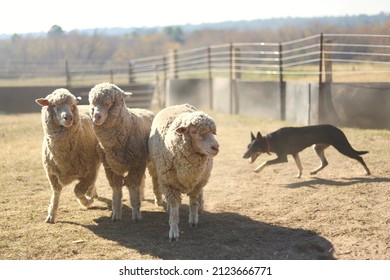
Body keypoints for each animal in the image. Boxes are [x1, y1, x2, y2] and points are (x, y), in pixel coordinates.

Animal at [35, 87, 101, 223]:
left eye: (72, 105)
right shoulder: (52, 174)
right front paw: (51, 214)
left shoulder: (89, 172)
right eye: (54, 105)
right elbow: (56, 193)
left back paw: (91, 194)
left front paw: (87, 202)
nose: (68, 118)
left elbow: (78, 191)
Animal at [88, 82, 155, 222]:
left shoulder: (136, 164)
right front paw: (116, 214)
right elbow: (116, 191)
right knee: (143, 179)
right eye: (92, 103)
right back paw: (142, 197)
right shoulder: (110, 167)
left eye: (110, 103)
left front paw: (136, 214)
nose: (96, 117)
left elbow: (133, 187)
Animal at [148, 103, 219, 241]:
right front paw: (174, 231)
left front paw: (193, 220)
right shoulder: (168, 184)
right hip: (155, 169)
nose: (215, 147)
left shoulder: (197, 182)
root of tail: (178, 105)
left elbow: (193, 202)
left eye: (212, 132)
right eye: (194, 131)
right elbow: (175, 209)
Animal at [241, 124, 372, 178]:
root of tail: (338, 129)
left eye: (253, 147)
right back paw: (314, 171)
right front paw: (299, 175)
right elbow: (299, 166)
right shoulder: (295, 154)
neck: (271, 140)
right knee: (325, 162)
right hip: (317, 147)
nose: (243, 156)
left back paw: (367, 172)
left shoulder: (283, 157)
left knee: (359, 157)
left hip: (342, 147)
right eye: (248, 146)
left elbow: (267, 162)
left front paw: (258, 169)